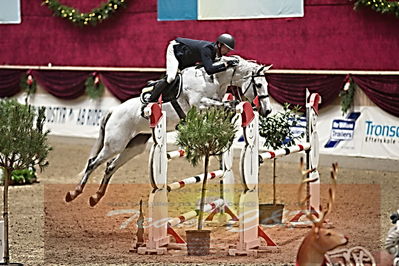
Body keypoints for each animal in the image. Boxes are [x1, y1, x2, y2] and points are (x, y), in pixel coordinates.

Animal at [65, 55, 274, 206]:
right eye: (258, 85)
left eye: (266, 85)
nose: (267, 110)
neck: (213, 78)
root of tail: (113, 110)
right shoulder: (199, 104)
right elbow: (226, 103)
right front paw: (238, 104)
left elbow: (226, 106)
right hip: (115, 144)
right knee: (93, 163)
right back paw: (74, 193)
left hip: (134, 146)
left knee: (110, 166)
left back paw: (96, 197)